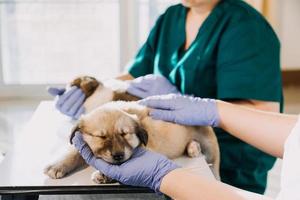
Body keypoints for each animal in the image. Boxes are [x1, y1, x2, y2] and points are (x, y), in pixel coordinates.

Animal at [44, 76, 220, 182]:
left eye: (125, 134)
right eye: (101, 137)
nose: (118, 156)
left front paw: (105, 174)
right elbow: (74, 152)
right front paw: (58, 165)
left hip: (211, 147)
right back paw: (192, 148)